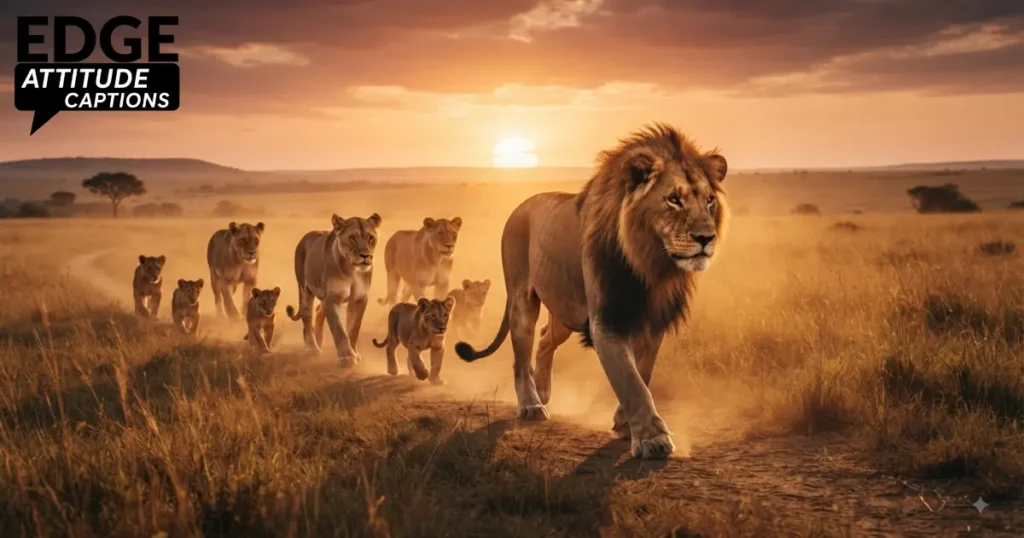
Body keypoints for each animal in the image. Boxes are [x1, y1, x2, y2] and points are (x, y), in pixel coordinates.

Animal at [285, 213, 382, 367]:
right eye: (352, 237)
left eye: (371, 238)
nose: (365, 256)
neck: (352, 270)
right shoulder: (332, 298)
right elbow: (339, 330)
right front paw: (346, 357)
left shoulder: (359, 298)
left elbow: (354, 328)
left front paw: (354, 353)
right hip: (304, 289)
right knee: (307, 318)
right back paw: (312, 349)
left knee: (319, 311)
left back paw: (319, 343)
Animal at [454, 124, 729, 460]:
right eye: (673, 199)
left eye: (709, 200)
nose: (707, 238)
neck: (650, 265)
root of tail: (520, 205)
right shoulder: (605, 321)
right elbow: (631, 382)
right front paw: (652, 439)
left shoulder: (652, 321)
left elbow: (643, 373)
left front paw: (625, 423)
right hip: (522, 300)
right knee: (521, 355)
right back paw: (531, 404)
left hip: (564, 310)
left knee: (545, 339)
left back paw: (543, 391)